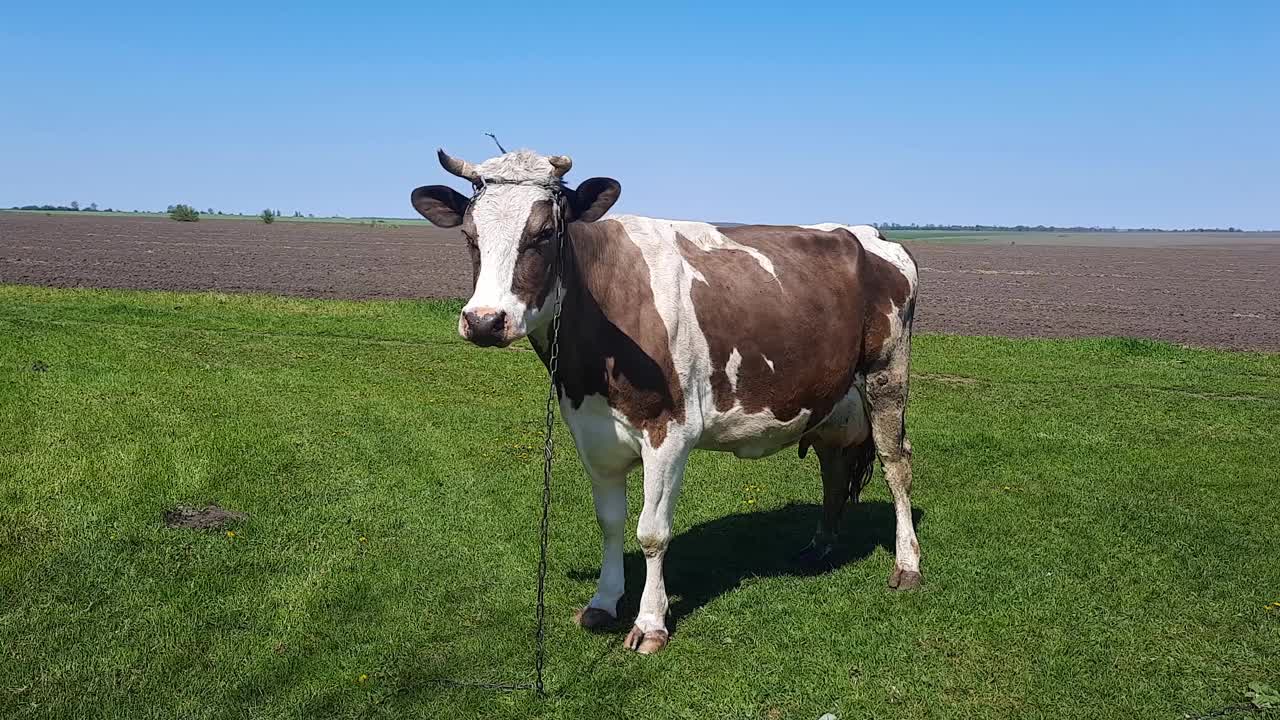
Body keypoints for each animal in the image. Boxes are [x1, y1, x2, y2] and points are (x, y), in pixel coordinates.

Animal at [414, 148, 926, 653]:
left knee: (896, 463)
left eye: (544, 233)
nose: (484, 321)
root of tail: (868, 233)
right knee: (834, 466)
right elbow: (610, 522)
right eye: (470, 236)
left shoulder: (670, 433)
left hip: (887, 375)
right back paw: (819, 547)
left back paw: (907, 565)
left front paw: (650, 622)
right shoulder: (591, 433)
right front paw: (603, 602)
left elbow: (652, 532)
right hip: (829, 398)